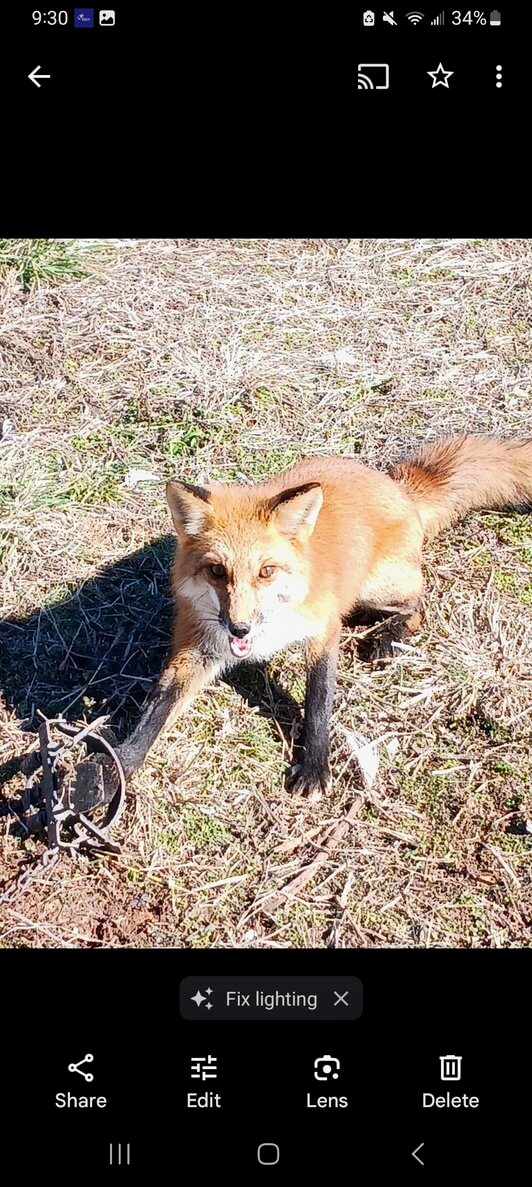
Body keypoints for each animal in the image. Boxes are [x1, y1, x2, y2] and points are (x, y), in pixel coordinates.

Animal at [116, 435, 532, 797]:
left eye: (266, 571)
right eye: (217, 571)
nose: (240, 627)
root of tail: (394, 484)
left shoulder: (321, 629)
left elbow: (319, 701)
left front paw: (315, 766)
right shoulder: (196, 648)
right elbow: (156, 710)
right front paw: (117, 767)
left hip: (379, 586)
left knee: (419, 604)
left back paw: (387, 637)